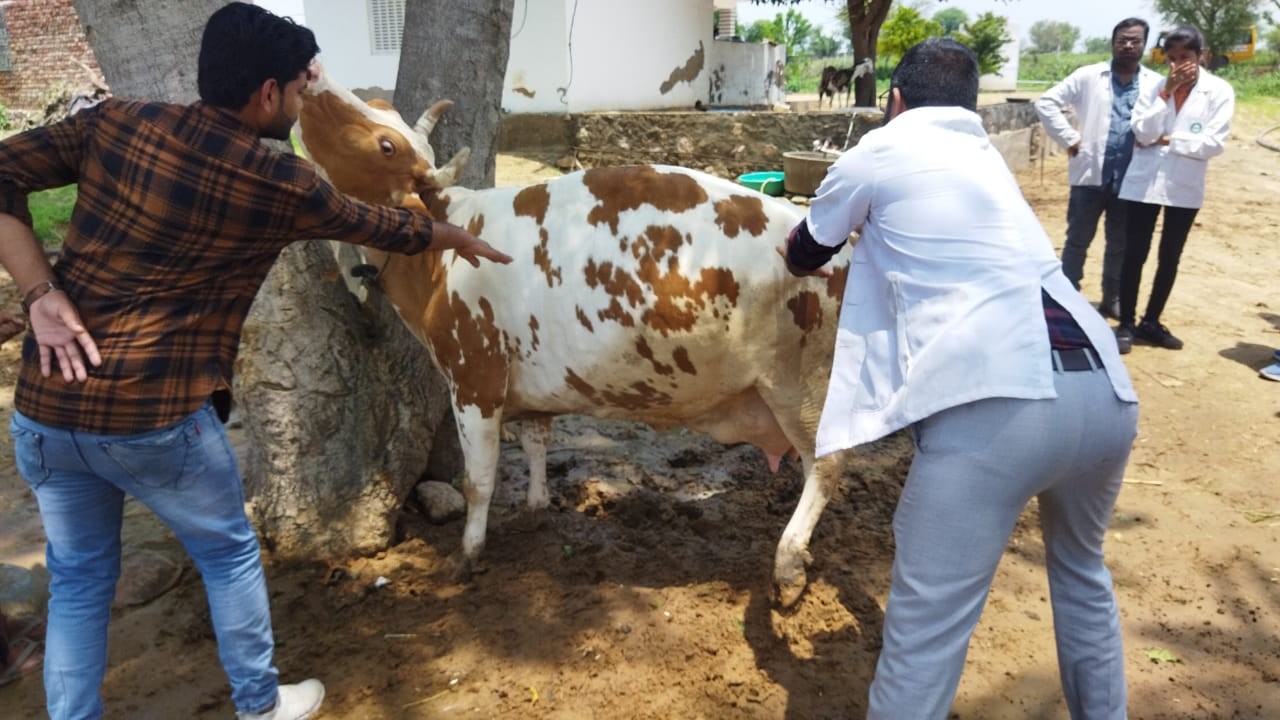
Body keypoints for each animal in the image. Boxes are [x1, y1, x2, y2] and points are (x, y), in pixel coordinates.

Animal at [293, 71, 849, 604]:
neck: (440, 253)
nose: (313, 75)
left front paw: (467, 553)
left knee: (826, 466)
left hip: (802, 386)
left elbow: (479, 480)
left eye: (386, 144)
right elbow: (537, 443)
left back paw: (789, 565)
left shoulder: (475, 378)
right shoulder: (529, 384)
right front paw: (535, 509)